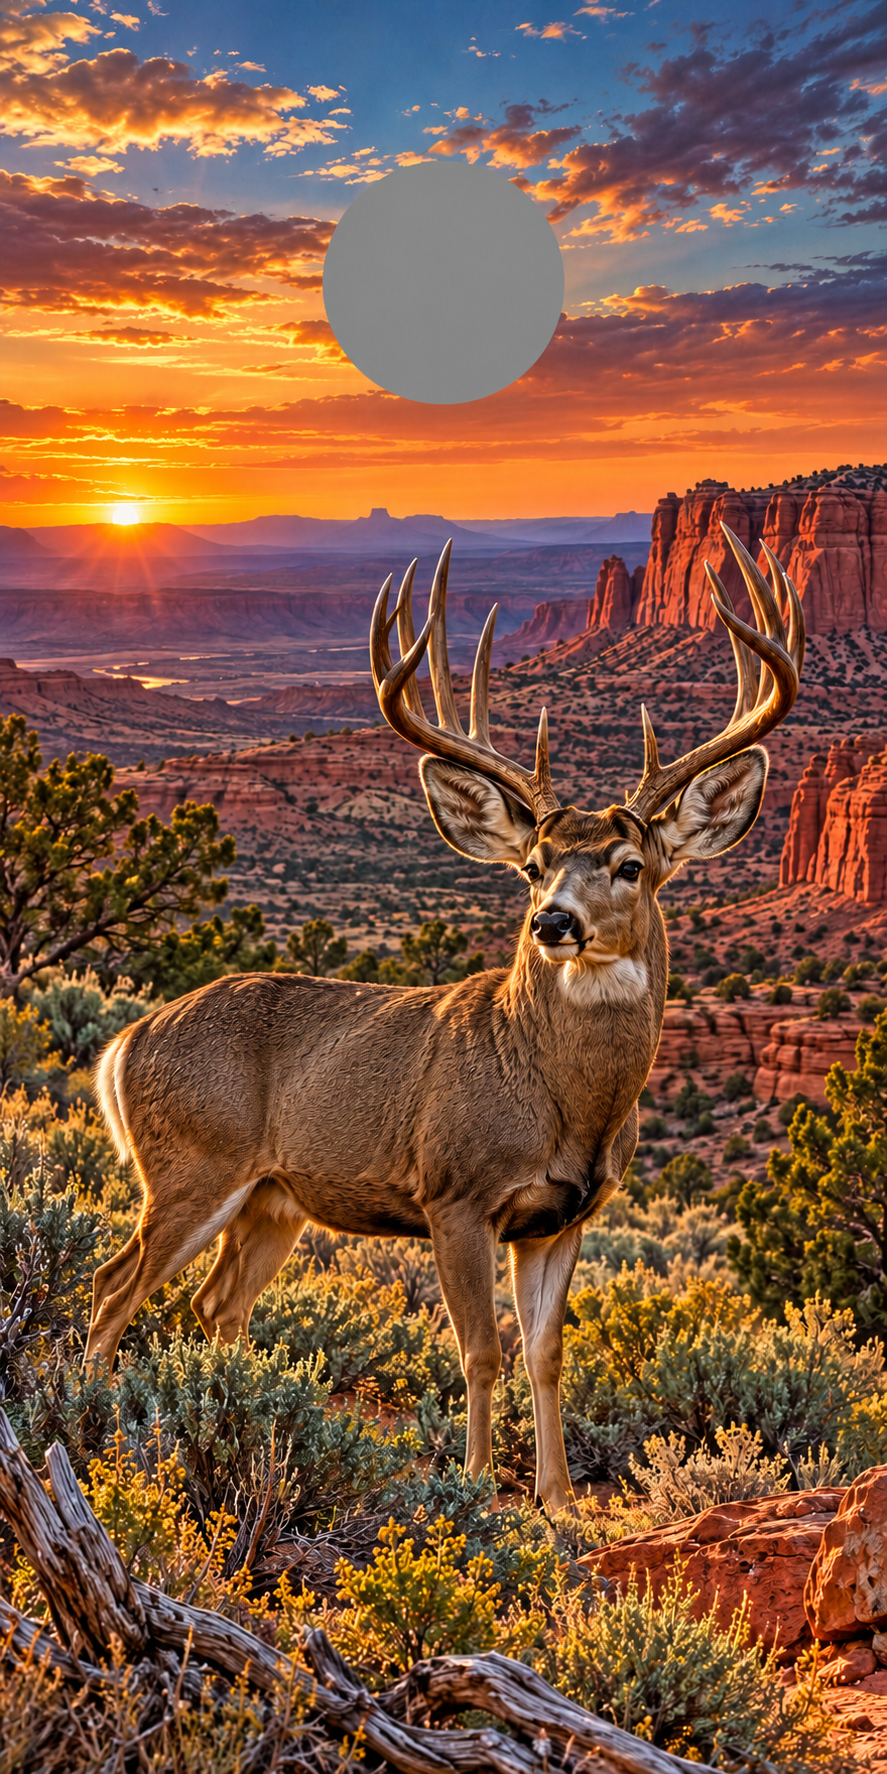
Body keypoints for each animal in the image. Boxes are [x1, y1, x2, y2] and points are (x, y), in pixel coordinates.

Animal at [86, 522, 804, 1512]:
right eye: (534, 865)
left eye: (629, 865)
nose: (553, 922)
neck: (565, 1105)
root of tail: (121, 1045)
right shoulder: (453, 1192)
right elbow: (479, 1351)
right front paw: (472, 1489)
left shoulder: (564, 1216)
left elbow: (545, 1354)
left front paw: (556, 1500)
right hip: (192, 1161)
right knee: (111, 1286)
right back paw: (86, 1419)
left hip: (272, 1197)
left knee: (212, 1304)